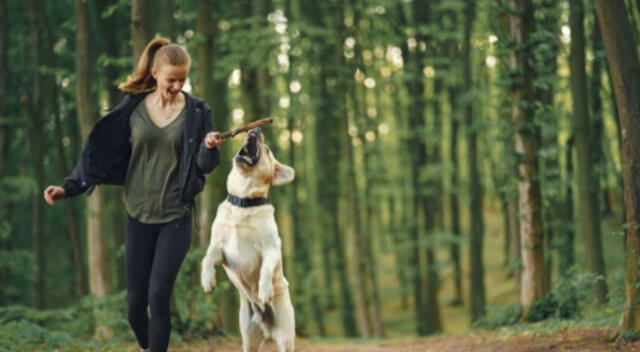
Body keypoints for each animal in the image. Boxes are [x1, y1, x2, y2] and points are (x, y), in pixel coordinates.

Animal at [201, 129, 296, 352]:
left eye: (267, 150)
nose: (255, 130)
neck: (243, 203)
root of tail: (267, 328)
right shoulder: (219, 248)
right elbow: (207, 258)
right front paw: (207, 280)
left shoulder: (271, 249)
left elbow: (266, 270)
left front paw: (264, 290)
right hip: (248, 336)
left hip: (286, 336)